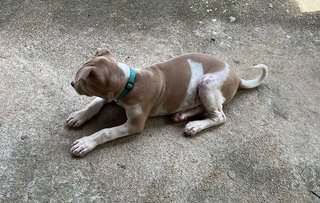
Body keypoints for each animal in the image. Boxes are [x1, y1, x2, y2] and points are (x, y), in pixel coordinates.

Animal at [67, 48, 268, 156]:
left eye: (81, 80)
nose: (71, 83)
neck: (130, 82)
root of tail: (237, 76)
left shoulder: (134, 125)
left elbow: (106, 132)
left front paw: (85, 143)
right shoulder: (112, 96)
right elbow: (95, 103)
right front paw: (79, 116)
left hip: (207, 83)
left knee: (219, 116)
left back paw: (195, 126)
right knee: (204, 108)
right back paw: (182, 115)